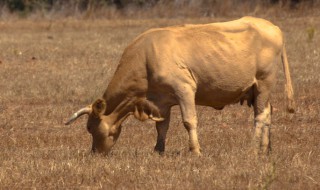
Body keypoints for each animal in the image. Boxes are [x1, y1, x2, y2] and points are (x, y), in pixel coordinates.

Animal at [65, 16, 296, 156]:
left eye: (90, 128)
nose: (95, 153)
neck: (146, 57)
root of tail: (273, 27)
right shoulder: (161, 102)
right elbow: (162, 127)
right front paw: (158, 151)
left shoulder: (184, 89)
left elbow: (189, 121)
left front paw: (195, 151)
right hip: (257, 90)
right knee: (268, 112)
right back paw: (266, 149)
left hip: (264, 82)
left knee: (261, 116)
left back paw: (252, 149)